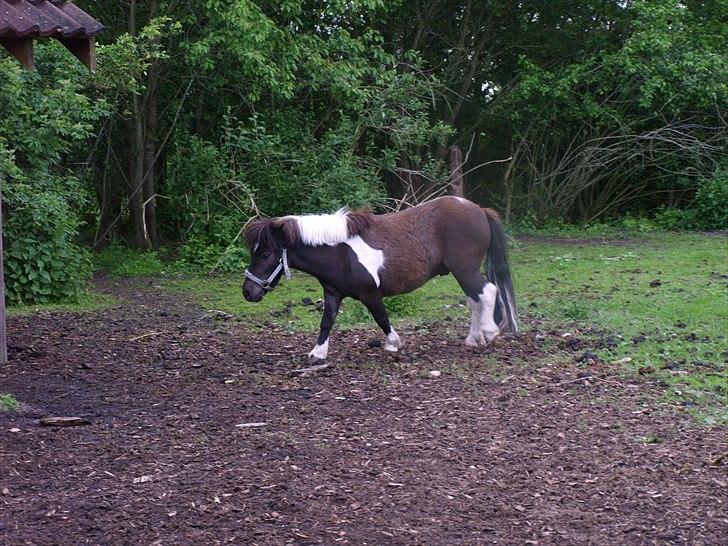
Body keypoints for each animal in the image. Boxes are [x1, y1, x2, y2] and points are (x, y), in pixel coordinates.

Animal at [245, 197, 516, 362]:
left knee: (487, 292)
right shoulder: (332, 293)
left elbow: (382, 318)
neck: (340, 250)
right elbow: (326, 322)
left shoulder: (370, 294)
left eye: (266, 254)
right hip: (463, 272)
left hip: (465, 270)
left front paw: (393, 343)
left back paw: (490, 332)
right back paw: (473, 339)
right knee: (475, 300)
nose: (248, 292)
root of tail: (480, 210)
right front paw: (318, 353)